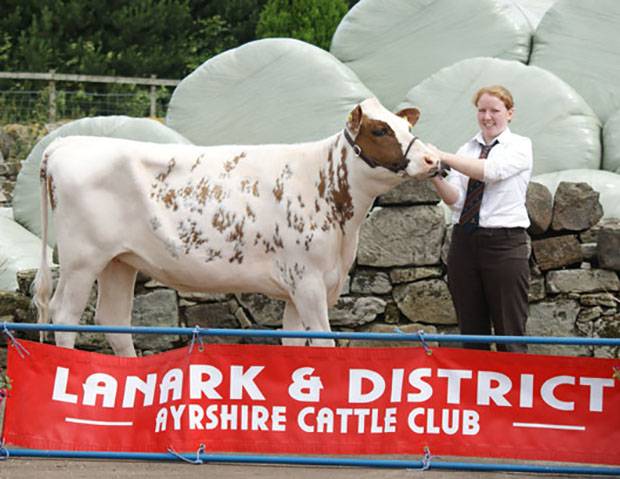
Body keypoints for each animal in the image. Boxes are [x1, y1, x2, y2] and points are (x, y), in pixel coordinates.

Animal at [34, 97, 438, 356]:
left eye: (407, 126)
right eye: (380, 130)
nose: (432, 159)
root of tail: (66, 143)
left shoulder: (299, 286)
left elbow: (295, 345)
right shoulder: (307, 280)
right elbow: (324, 342)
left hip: (120, 260)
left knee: (114, 321)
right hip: (81, 259)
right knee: (65, 316)